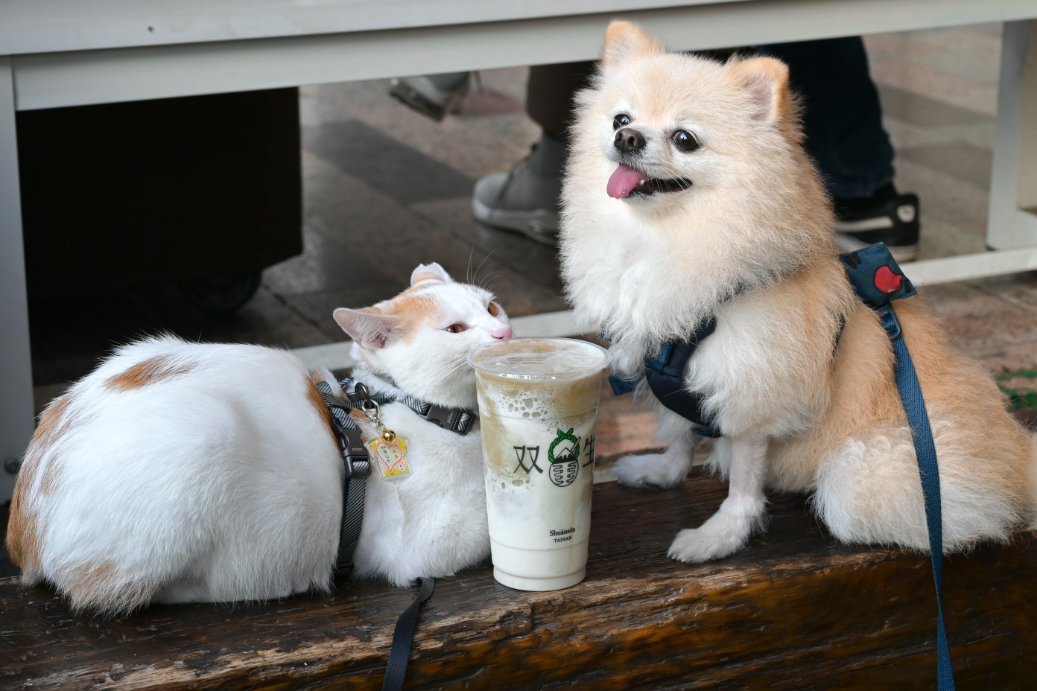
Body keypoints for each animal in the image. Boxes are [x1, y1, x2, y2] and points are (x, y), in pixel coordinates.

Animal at [6, 262, 512, 614]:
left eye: (491, 307)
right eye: (455, 329)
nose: (505, 331)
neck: (415, 406)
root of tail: (22, 530)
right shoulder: (422, 549)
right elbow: (491, 529)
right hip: (202, 437)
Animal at [559, 20, 1037, 560]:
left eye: (685, 139)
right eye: (620, 118)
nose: (627, 137)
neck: (663, 237)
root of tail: (1021, 457)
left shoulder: (753, 392)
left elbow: (744, 480)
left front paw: (720, 535)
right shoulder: (666, 363)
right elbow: (680, 429)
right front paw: (663, 470)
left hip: (865, 474)